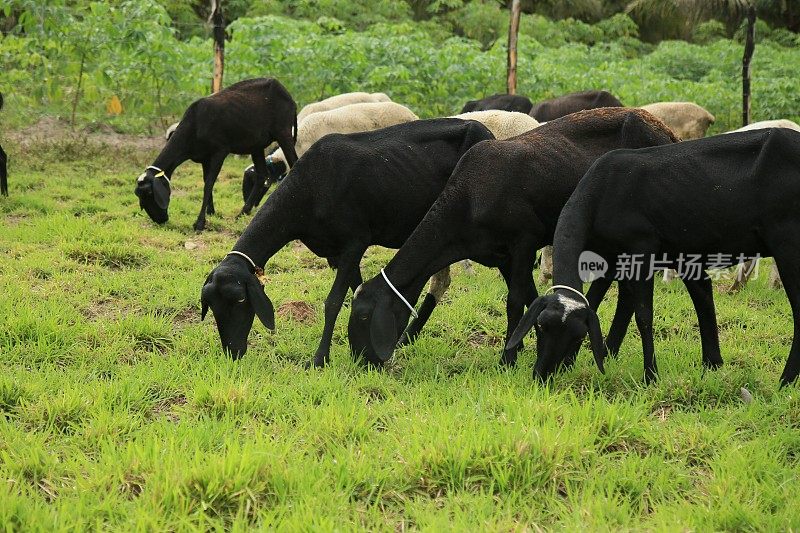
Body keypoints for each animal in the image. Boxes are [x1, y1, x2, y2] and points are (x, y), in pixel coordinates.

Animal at [136, 78, 298, 231]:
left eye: (150, 193)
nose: (160, 220)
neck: (193, 127)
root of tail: (289, 96)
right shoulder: (204, 158)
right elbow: (206, 182)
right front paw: (211, 212)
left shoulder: (219, 152)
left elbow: (208, 184)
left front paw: (200, 223)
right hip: (256, 144)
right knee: (262, 175)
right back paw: (242, 212)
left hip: (283, 133)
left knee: (294, 163)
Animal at [200, 117, 494, 366]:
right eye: (211, 306)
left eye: (240, 299)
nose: (233, 351)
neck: (307, 190)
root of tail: (484, 130)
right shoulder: (338, 252)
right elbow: (354, 291)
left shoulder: (355, 241)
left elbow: (332, 302)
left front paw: (320, 359)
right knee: (438, 279)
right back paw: (406, 338)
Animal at [506, 129, 800, 386]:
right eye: (541, 326)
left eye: (578, 338)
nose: (541, 376)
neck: (600, 193)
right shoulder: (622, 259)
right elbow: (605, 301)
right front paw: (712, 365)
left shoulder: (642, 249)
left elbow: (643, 315)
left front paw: (650, 375)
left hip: (788, 241)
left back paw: (786, 381)